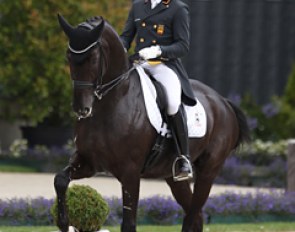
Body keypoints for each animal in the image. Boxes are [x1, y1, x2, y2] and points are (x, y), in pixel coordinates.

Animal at [54, 15, 251, 232]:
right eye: (69, 57)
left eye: (93, 58)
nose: (82, 108)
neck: (111, 105)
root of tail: (224, 102)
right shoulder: (89, 162)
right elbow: (60, 180)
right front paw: (63, 222)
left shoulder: (130, 173)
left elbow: (129, 224)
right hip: (172, 176)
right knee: (196, 215)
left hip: (208, 170)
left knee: (193, 213)